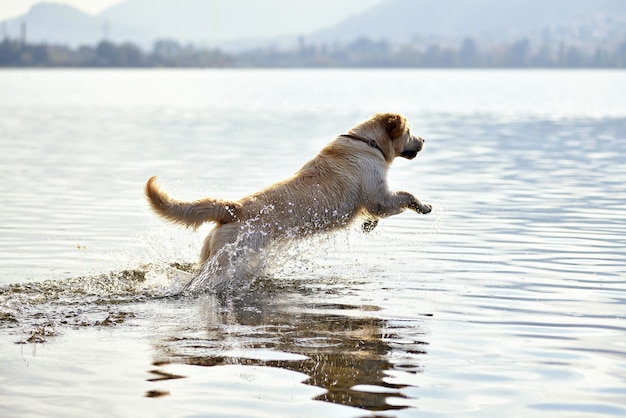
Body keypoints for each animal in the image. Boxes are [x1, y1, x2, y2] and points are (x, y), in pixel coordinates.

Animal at [145, 112, 428, 292]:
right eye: (410, 131)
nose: (424, 140)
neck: (369, 143)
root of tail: (234, 208)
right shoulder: (378, 196)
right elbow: (404, 196)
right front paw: (423, 206)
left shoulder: (375, 200)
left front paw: (370, 225)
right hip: (234, 257)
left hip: (211, 253)